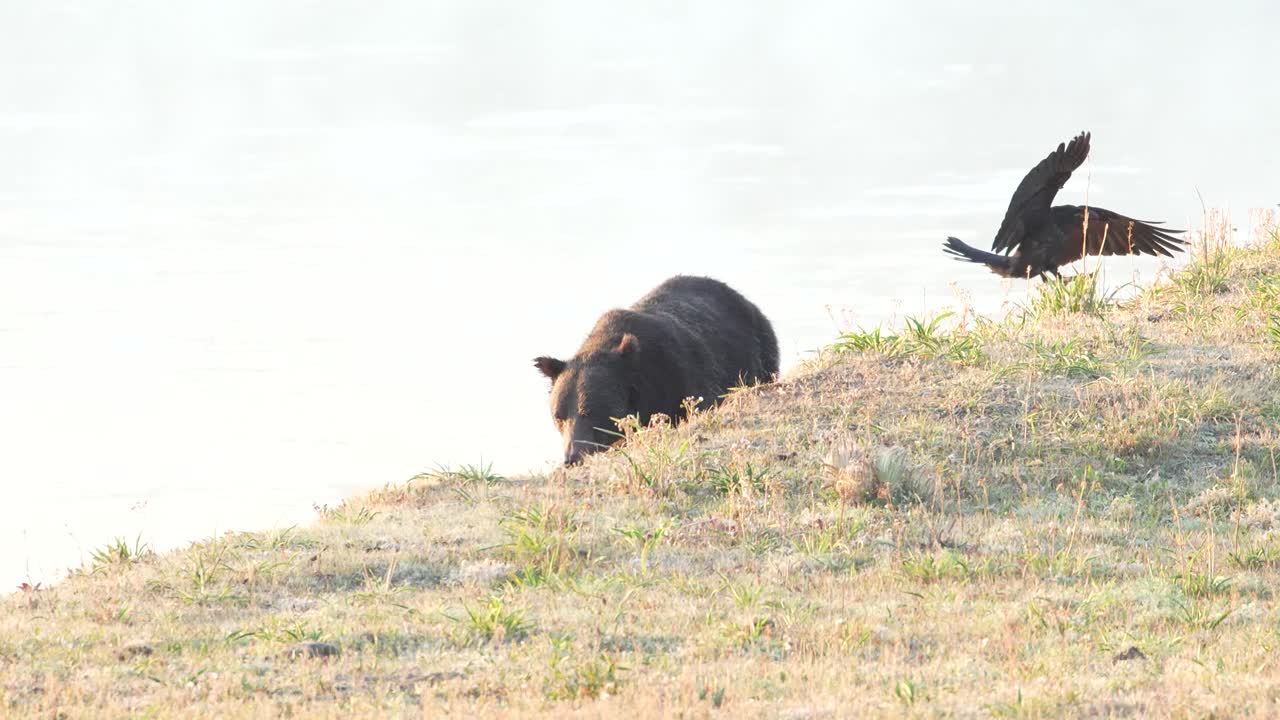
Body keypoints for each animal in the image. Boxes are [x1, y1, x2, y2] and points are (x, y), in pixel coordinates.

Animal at [533, 275, 779, 465]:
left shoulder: (679, 376)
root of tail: (743, 299)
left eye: (589, 411)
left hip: (759, 354)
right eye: (558, 416)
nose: (572, 458)